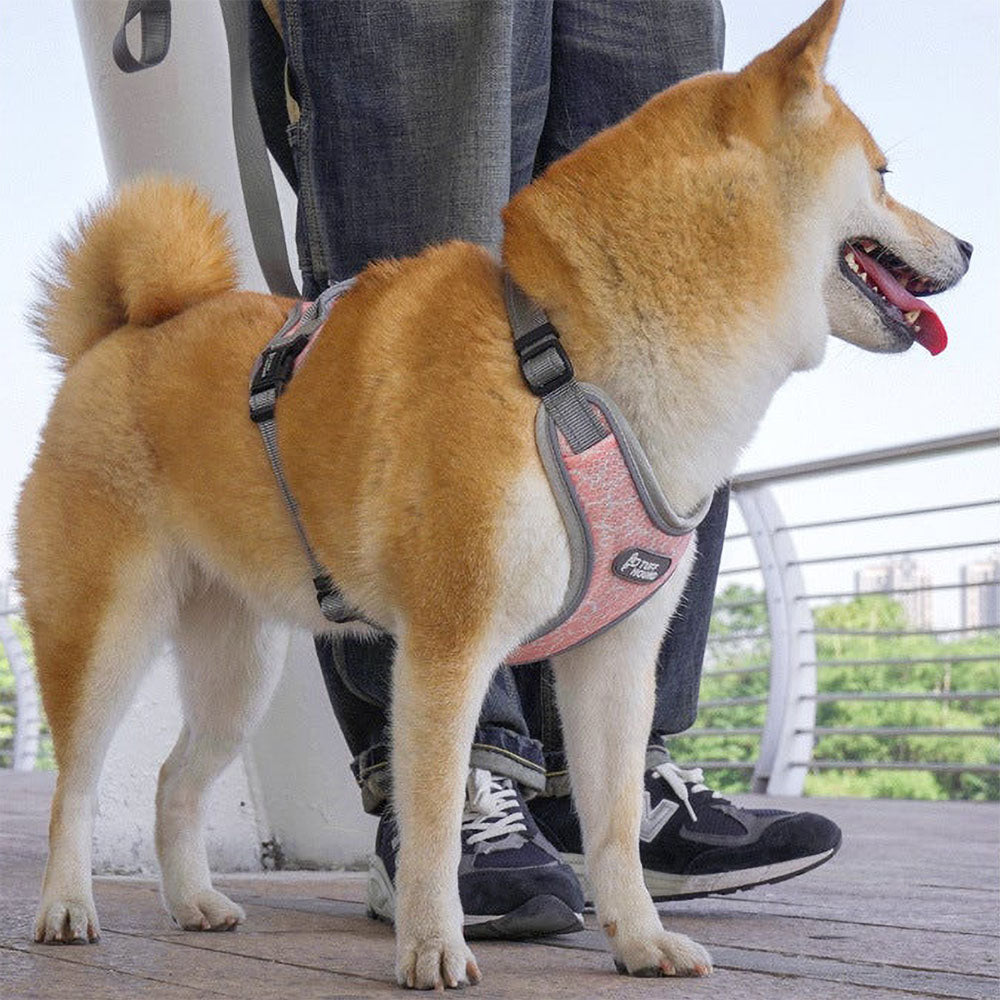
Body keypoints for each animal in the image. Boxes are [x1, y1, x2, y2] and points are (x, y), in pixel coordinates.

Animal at [15, 0, 968, 984]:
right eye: (885, 176)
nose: (969, 245)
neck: (571, 365)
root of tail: (122, 333)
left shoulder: (617, 655)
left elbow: (616, 824)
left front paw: (639, 938)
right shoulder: (449, 643)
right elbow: (436, 819)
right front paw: (435, 941)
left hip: (237, 670)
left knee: (175, 780)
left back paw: (194, 902)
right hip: (107, 632)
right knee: (75, 787)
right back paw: (67, 906)